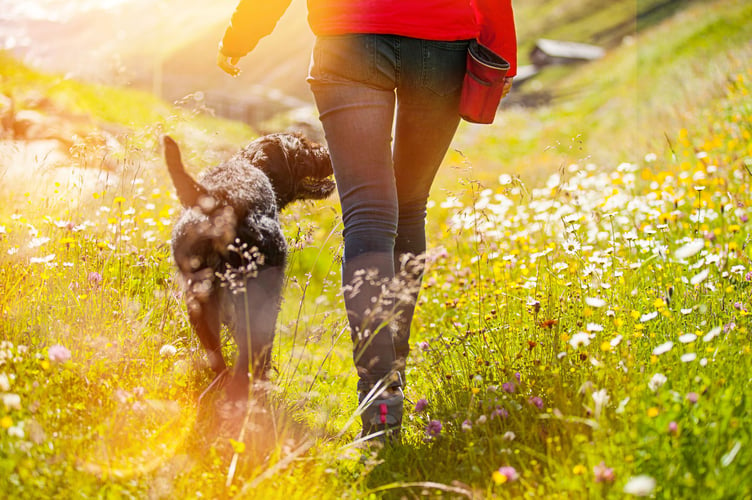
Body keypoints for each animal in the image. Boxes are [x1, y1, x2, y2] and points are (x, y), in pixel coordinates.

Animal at [164, 133, 334, 398]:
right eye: (304, 145)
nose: (328, 153)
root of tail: (219, 200)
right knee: (250, 355)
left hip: (199, 300)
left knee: (217, 355)